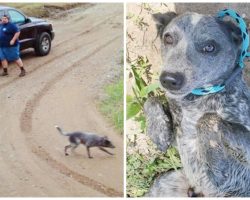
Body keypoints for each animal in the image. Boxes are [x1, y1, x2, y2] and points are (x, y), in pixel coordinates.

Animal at [144, 9, 250, 197]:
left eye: (209, 47)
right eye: (168, 38)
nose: (169, 80)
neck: (197, 100)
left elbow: (207, 119)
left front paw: (216, 168)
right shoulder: (181, 139)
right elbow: (152, 99)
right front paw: (158, 132)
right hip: (163, 183)